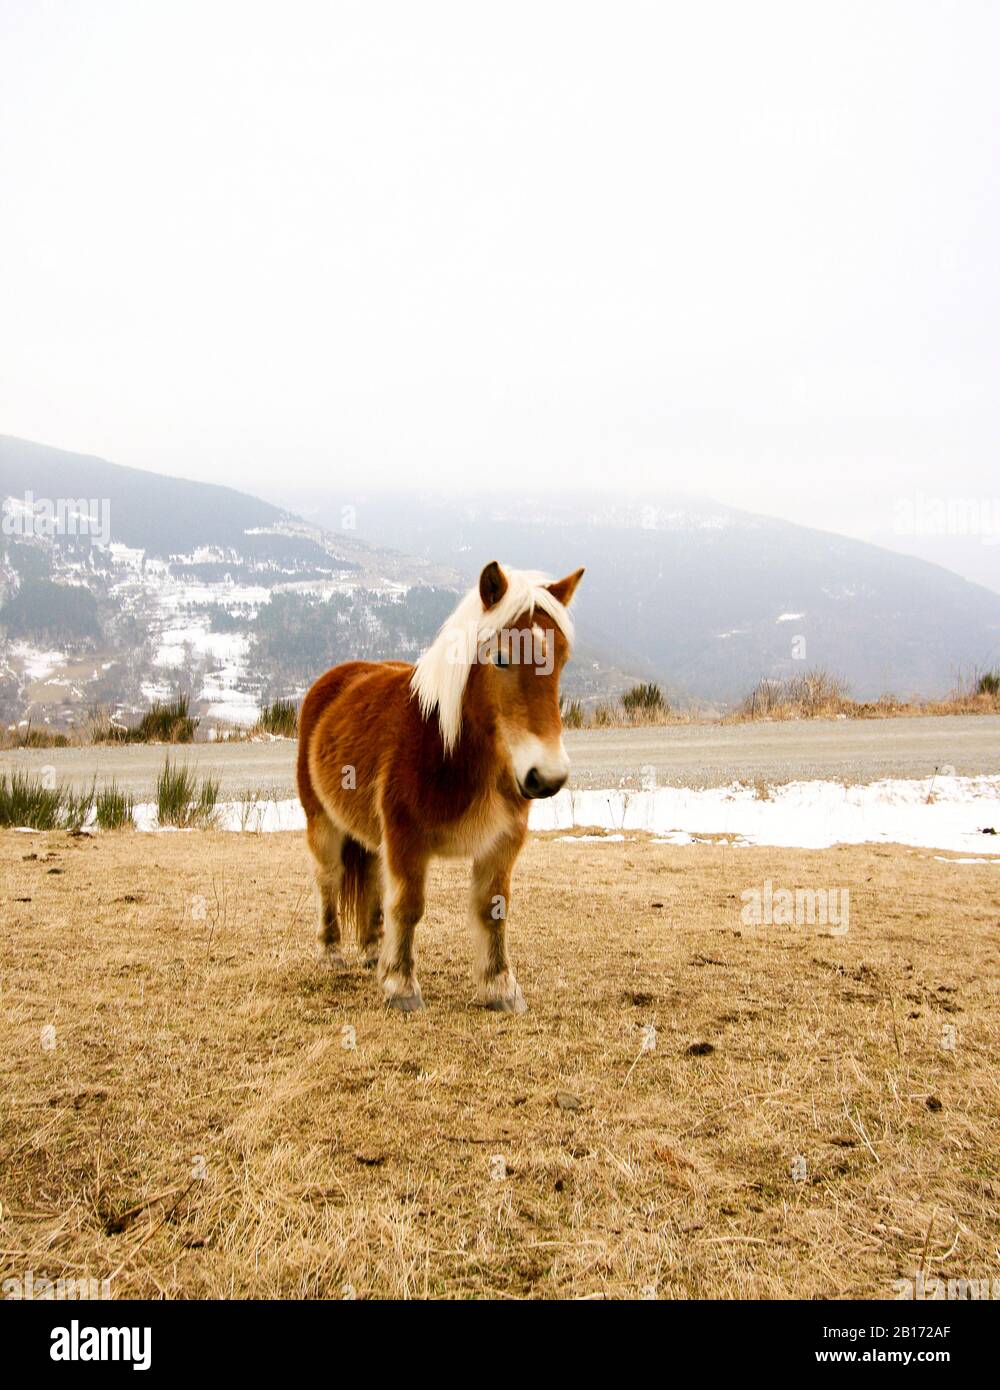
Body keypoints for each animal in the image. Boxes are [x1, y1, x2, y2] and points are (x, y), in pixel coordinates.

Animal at [293, 561, 584, 1011]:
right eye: (501, 658)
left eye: (563, 659)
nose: (546, 776)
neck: (454, 751)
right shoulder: (406, 838)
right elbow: (408, 906)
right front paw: (400, 986)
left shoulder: (503, 842)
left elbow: (492, 909)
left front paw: (500, 988)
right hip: (322, 821)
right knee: (328, 878)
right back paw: (331, 952)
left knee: (373, 879)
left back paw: (373, 950)